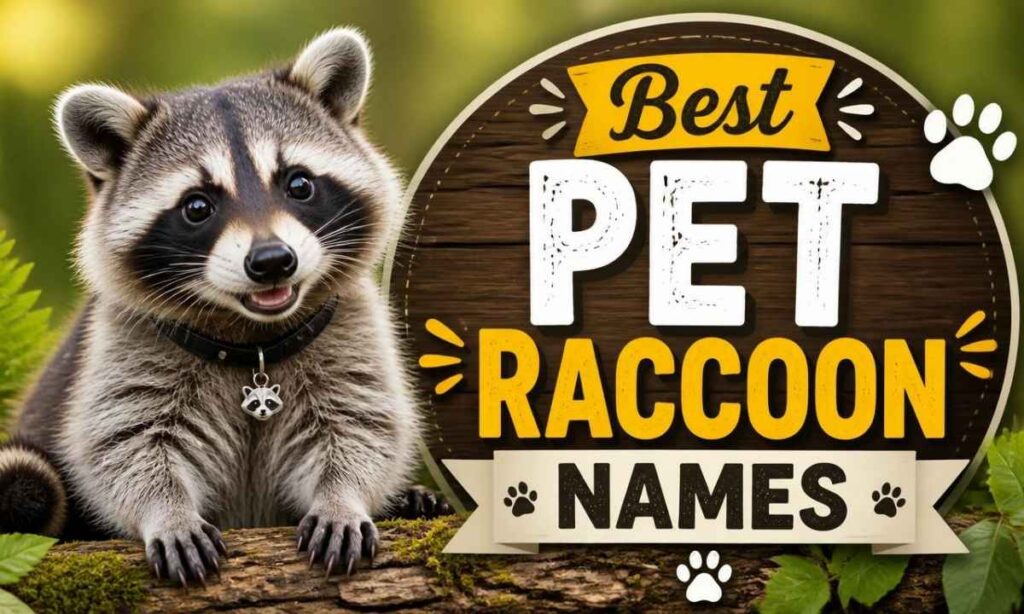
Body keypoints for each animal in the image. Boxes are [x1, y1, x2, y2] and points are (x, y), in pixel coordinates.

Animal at [0, 28, 449, 585]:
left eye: (299, 184)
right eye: (197, 206)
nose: (273, 261)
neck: (252, 340)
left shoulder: (350, 329)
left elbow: (360, 426)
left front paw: (341, 496)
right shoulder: (123, 347)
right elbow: (125, 445)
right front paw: (166, 510)